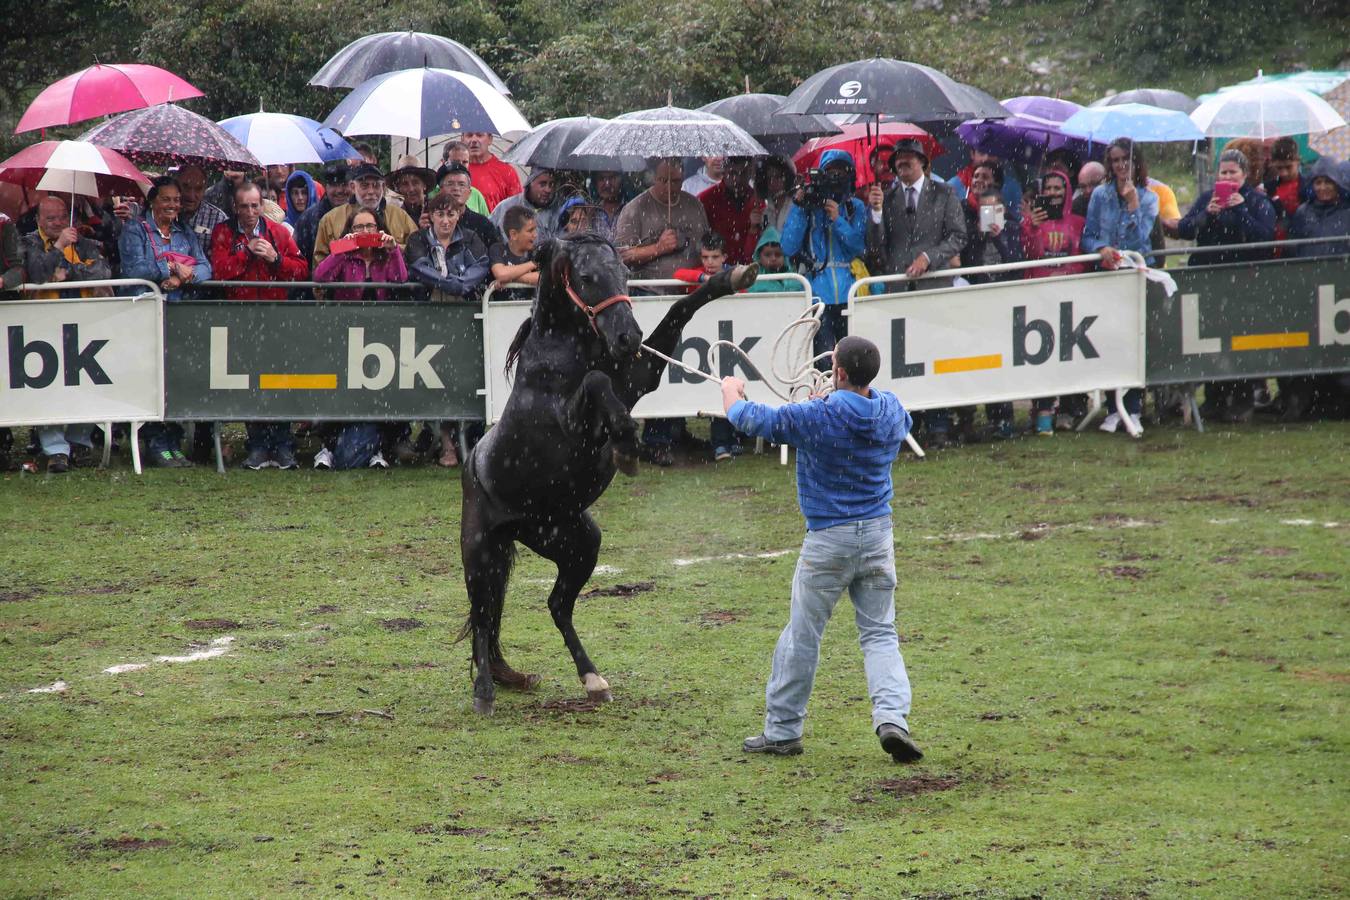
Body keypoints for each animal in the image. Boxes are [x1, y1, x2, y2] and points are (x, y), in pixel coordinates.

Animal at [459, 234, 756, 717]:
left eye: (623, 273)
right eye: (585, 276)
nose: (627, 336)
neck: (560, 358)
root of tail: (473, 466)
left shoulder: (638, 378)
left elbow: (678, 310)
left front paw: (732, 277)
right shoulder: (575, 421)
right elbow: (597, 382)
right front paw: (628, 446)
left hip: (575, 542)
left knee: (557, 605)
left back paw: (592, 680)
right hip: (480, 553)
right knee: (484, 618)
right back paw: (485, 691)